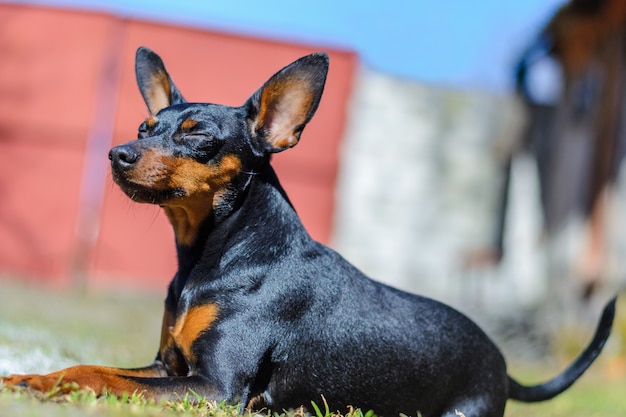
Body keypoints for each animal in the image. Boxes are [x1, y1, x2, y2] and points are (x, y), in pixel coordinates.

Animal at [0, 47, 616, 414]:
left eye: (197, 136)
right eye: (144, 127)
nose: (117, 153)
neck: (214, 255)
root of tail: (503, 366)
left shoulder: (214, 389)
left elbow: (105, 378)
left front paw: (43, 385)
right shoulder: (166, 367)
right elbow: (98, 368)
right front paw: (31, 377)